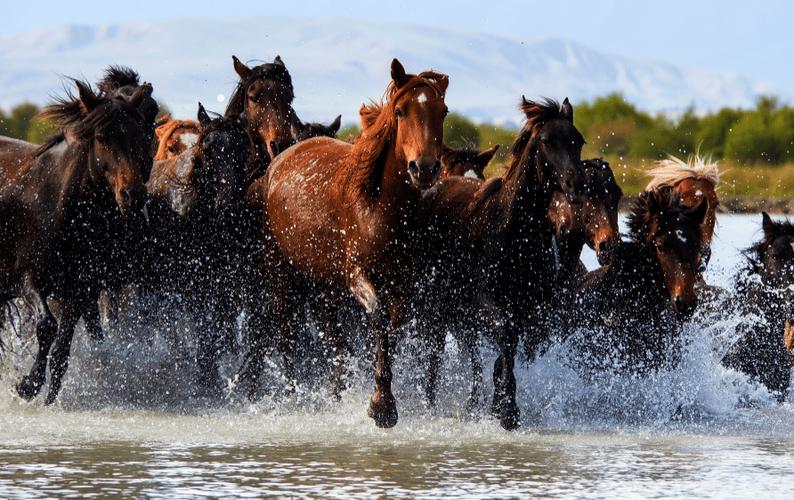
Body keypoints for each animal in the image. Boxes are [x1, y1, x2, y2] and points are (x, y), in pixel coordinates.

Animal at [0, 79, 153, 406]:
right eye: (103, 137)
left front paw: (48, 398)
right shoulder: (27, 279)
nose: (133, 195)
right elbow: (46, 327)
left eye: (139, 135)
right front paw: (27, 385)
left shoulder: (79, 288)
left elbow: (61, 351)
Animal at [412, 98, 584, 430]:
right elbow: (504, 344)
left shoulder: (533, 313)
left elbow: (507, 357)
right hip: (436, 310)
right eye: (546, 141)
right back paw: (429, 404)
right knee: (434, 357)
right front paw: (507, 413)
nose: (575, 184)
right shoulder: (487, 305)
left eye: (578, 141)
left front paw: (499, 407)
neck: (512, 233)